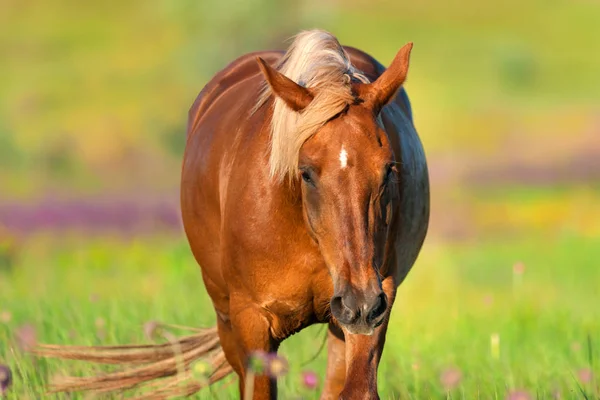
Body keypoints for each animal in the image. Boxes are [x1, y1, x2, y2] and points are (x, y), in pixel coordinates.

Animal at [35, 30, 428, 400]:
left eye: (389, 169)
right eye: (306, 173)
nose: (361, 303)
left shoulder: (372, 305)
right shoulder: (252, 323)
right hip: (230, 320)